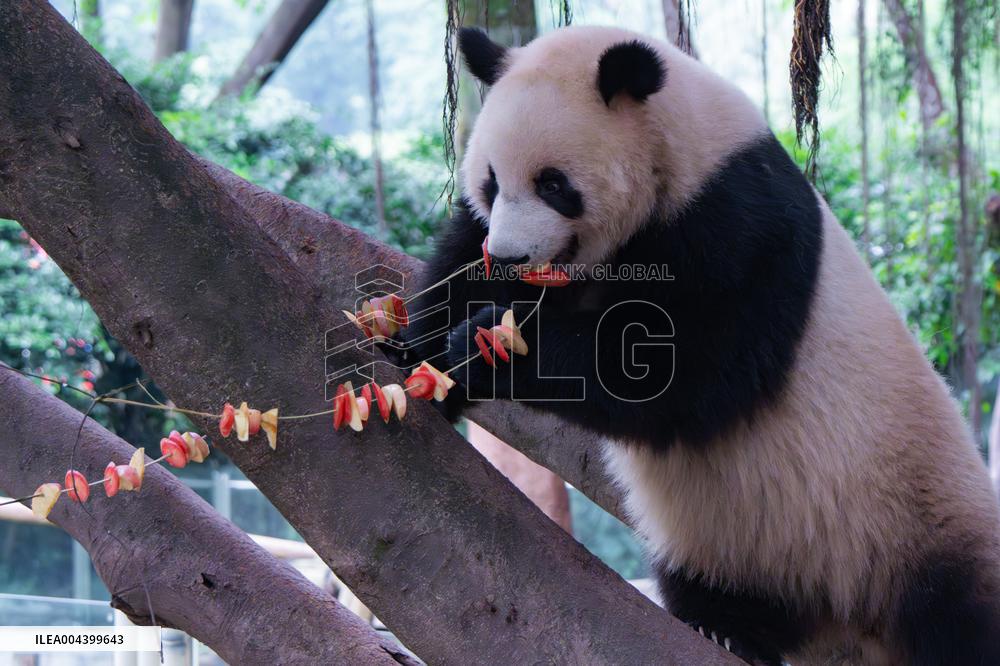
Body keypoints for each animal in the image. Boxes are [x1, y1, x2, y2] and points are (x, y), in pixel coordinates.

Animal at [400, 25, 1000, 665]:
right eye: (490, 182)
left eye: (554, 184)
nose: (511, 255)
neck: (679, 146)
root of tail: (844, 625)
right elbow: (461, 266)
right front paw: (421, 356)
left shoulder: (739, 224)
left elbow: (684, 374)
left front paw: (492, 348)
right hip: (730, 547)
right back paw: (727, 629)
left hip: (917, 515)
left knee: (957, 615)